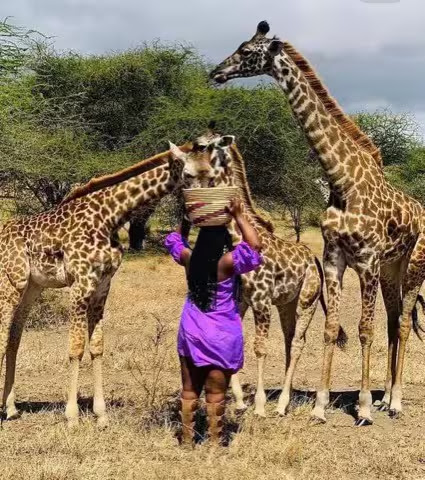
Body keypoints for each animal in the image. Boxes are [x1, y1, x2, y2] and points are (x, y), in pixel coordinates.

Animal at [0, 132, 232, 428]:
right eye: (189, 174)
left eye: (213, 174)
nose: (208, 207)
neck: (109, 215)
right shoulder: (80, 284)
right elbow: (76, 347)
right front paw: (72, 416)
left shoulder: (102, 286)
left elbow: (97, 347)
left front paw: (101, 414)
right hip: (11, 283)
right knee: (3, 334)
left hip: (32, 287)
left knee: (13, 337)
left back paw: (11, 407)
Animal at [171, 131, 344, 416]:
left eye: (203, 146)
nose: (185, 173)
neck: (239, 237)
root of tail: (314, 260)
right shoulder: (240, 300)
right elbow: (234, 342)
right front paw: (241, 400)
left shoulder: (261, 300)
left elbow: (260, 348)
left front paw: (260, 406)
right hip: (286, 303)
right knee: (289, 339)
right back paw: (287, 397)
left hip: (307, 300)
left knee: (298, 342)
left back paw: (282, 404)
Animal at [211, 20, 424, 426]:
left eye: (246, 51)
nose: (216, 73)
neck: (341, 180)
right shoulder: (335, 259)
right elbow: (330, 328)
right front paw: (322, 407)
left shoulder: (366, 260)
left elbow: (364, 330)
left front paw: (362, 407)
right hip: (391, 269)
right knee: (393, 322)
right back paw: (386, 399)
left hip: (413, 266)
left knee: (403, 323)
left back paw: (395, 403)